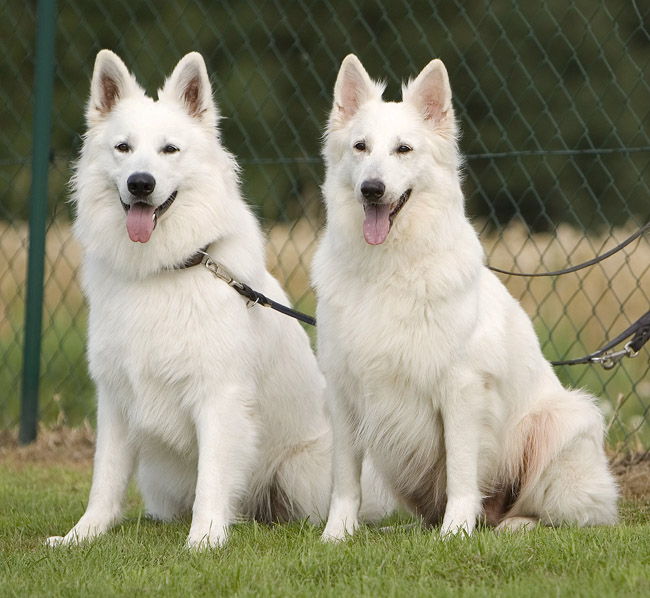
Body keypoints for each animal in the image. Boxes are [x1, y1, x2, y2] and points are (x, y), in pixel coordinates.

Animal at [46, 51, 390, 552]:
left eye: (170, 150)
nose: (140, 183)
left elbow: (212, 476)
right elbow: (104, 478)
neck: (164, 269)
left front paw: (204, 540)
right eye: (123, 148)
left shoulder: (218, 396)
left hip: (305, 469)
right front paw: (82, 535)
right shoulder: (116, 400)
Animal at [312, 57, 616, 544]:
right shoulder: (343, 391)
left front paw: (455, 533)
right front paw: (336, 535)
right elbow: (345, 480)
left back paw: (513, 524)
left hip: (562, 421)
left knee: (571, 514)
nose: (371, 189)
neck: (389, 269)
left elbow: (460, 470)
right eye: (361, 147)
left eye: (403, 149)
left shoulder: (460, 390)